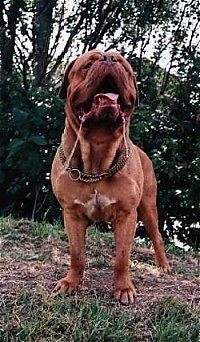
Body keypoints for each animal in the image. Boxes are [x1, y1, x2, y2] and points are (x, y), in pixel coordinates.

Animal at [50, 48, 170, 304]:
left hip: (148, 207)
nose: (108, 59)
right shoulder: (72, 214)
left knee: (157, 237)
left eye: (124, 66)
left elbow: (122, 257)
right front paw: (71, 283)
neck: (98, 148)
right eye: (89, 64)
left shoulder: (127, 215)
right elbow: (77, 254)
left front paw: (123, 288)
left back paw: (163, 265)